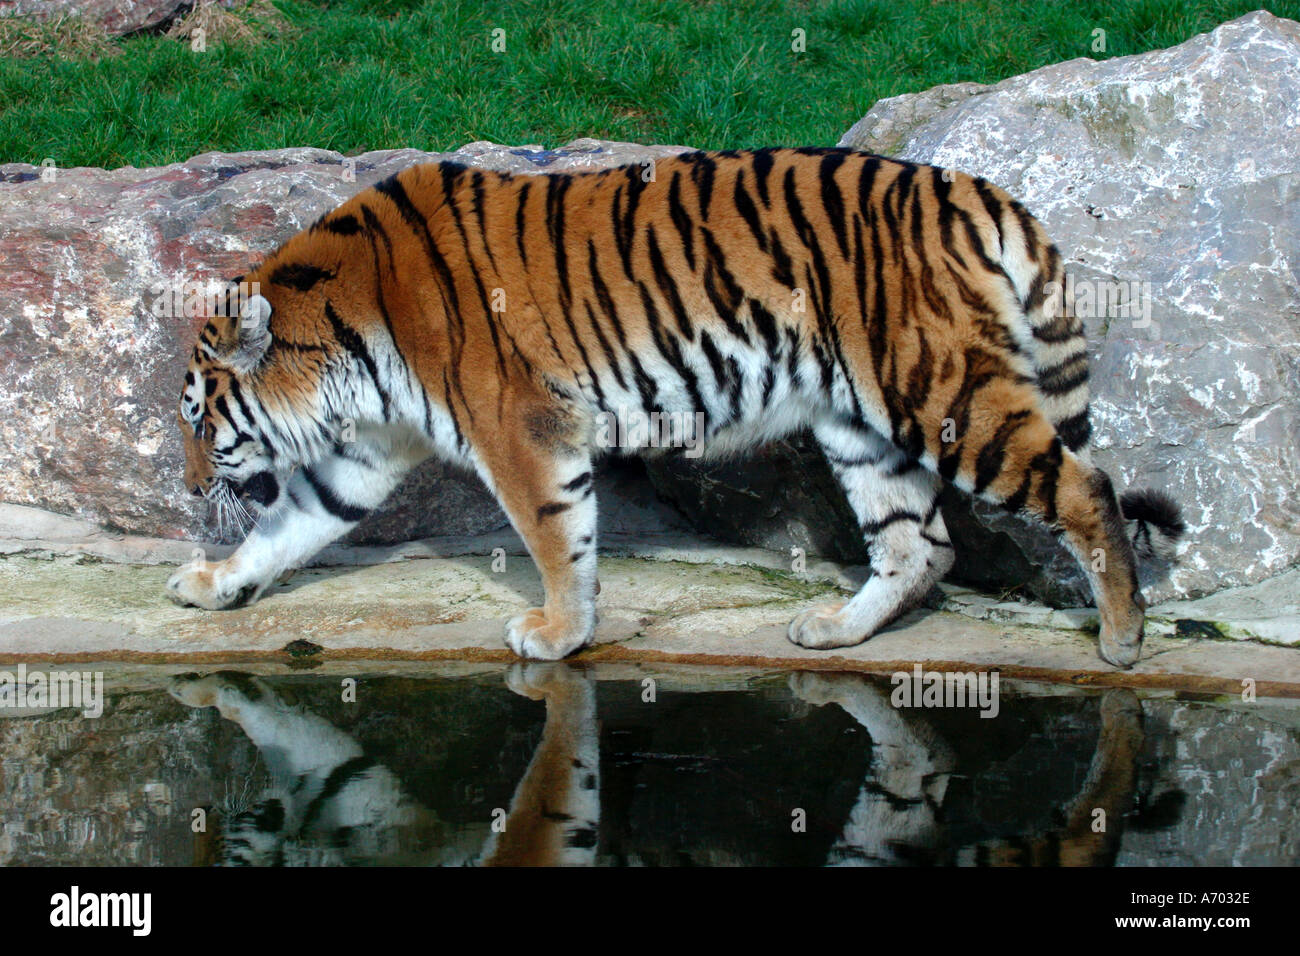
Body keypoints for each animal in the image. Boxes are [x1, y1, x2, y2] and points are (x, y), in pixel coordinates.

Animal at [166, 147, 1185, 667]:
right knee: (918, 545)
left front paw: (557, 635)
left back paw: (1123, 639)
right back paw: (833, 630)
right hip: (860, 424)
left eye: (199, 423)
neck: (341, 345)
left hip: (942, 394)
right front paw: (214, 583)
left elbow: (555, 535)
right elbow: (291, 527)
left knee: (1086, 488)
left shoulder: (520, 429)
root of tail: (972, 187)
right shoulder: (367, 452)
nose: (185, 487)